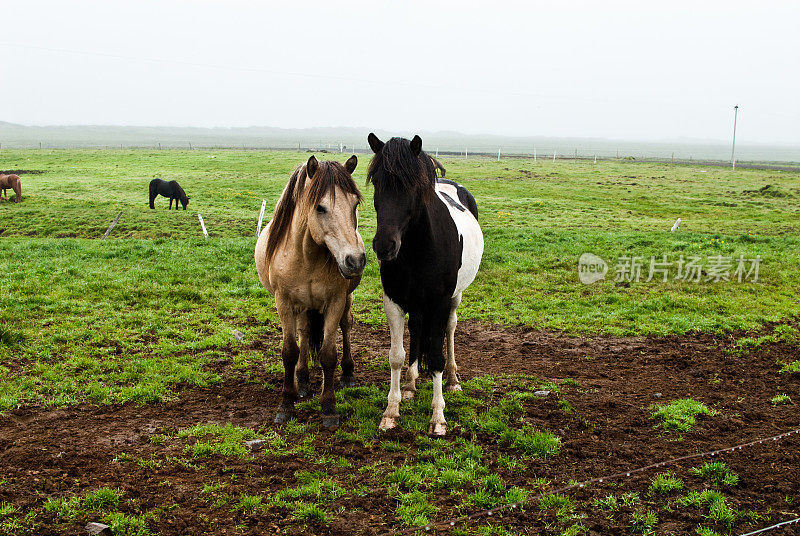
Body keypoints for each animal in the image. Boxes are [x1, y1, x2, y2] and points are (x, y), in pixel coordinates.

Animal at [255, 155, 368, 428]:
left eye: (355, 204)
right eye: (320, 207)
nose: (355, 261)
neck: (307, 256)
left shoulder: (335, 301)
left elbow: (328, 354)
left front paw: (329, 408)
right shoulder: (284, 302)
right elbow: (289, 352)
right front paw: (286, 404)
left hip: (344, 300)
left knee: (346, 327)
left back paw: (347, 374)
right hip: (303, 306)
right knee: (304, 332)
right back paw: (303, 380)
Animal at [368, 133, 484, 436]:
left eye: (411, 187)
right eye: (376, 183)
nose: (384, 246)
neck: (418, 248)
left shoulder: (440, 301)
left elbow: (435, 357)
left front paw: (438, 417)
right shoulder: (394, 300)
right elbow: (396, 355)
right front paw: (391, 410)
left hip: (454, 298)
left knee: (450, 329)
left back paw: (453, 380)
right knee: (418, 328)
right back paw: (410, 383)